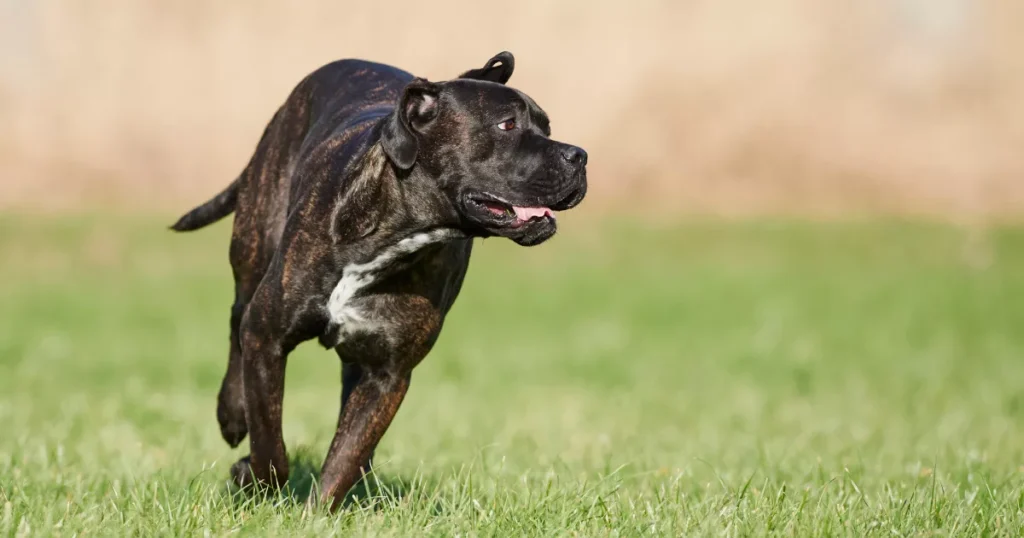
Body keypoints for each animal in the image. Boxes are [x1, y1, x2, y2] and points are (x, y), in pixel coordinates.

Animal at [167, 51, 585, 508]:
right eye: (506, 124)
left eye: (547, 128)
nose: (579, 156)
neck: (397, 231)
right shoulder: (267, 336)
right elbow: (269, 439)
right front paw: (255, 479)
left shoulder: (387, 374)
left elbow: (345, 455)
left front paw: (317, 511)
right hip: (253, 249)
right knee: (235, 320)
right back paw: (231, 413)